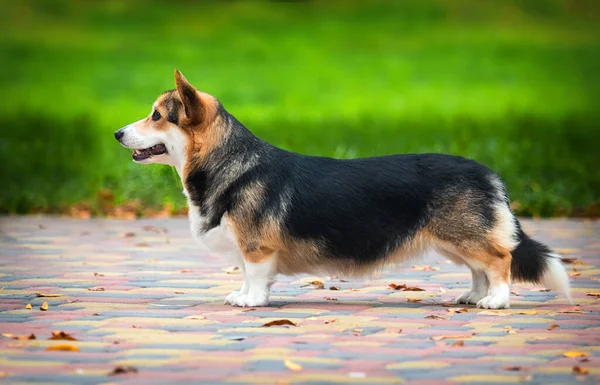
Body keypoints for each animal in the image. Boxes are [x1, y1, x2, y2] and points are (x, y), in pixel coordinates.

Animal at [113, 70, 572, 308]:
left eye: (157, 116)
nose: (117, 133)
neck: (228, 160)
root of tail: (488, 173)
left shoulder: (257, 246)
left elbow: (256, 275)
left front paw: (252, 301)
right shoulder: (247, 247)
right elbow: (244, 274)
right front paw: (240, 295)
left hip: (466, 236)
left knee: (500, 260)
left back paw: (495, 301)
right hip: (452, 241)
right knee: (479, 267)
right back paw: (471, 297)